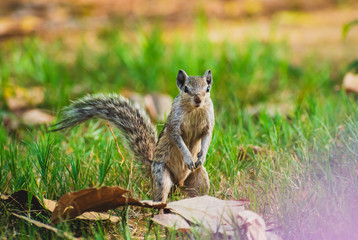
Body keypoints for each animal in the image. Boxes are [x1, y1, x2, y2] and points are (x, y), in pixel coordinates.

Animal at [51, 70, 214, 202]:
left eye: (207, 88)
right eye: (186, 88)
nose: (198, 99)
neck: (195, 110)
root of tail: (178, 182)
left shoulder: (208, 124)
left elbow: (207, 138)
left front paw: (201, 156)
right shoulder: (174, 124)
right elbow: (177, 139)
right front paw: (188, 157)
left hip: (199, 179)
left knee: (198, 193)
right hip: (161, 175)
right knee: (160, 196)